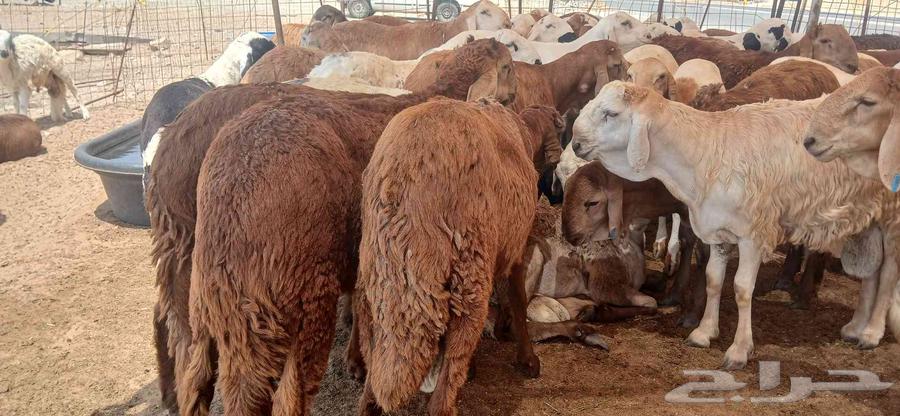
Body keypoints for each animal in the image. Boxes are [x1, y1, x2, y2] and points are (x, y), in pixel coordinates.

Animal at [570, 81, 900, 369]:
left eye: (611, 113)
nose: (575, 143)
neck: (703, 153)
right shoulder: (718, 230)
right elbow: (714, 280)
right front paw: (704, 333)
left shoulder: (753, 234)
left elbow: (741, 288)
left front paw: (739, 350)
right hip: (871, 212)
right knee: (872, 269)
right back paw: (855, 327)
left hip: (893, 213)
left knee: (888, 272)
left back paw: (872, 332)